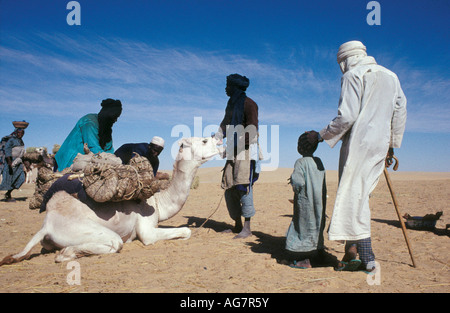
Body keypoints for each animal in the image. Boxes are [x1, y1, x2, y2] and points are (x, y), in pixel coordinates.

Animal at [0, 136, 222, 264]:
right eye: (204, 141)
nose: (220, 142)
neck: (158, 203)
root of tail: (47, 224)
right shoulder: (147, 231)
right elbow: (185, 231)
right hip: (87, 231)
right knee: (112, 243)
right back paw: (67, 254)